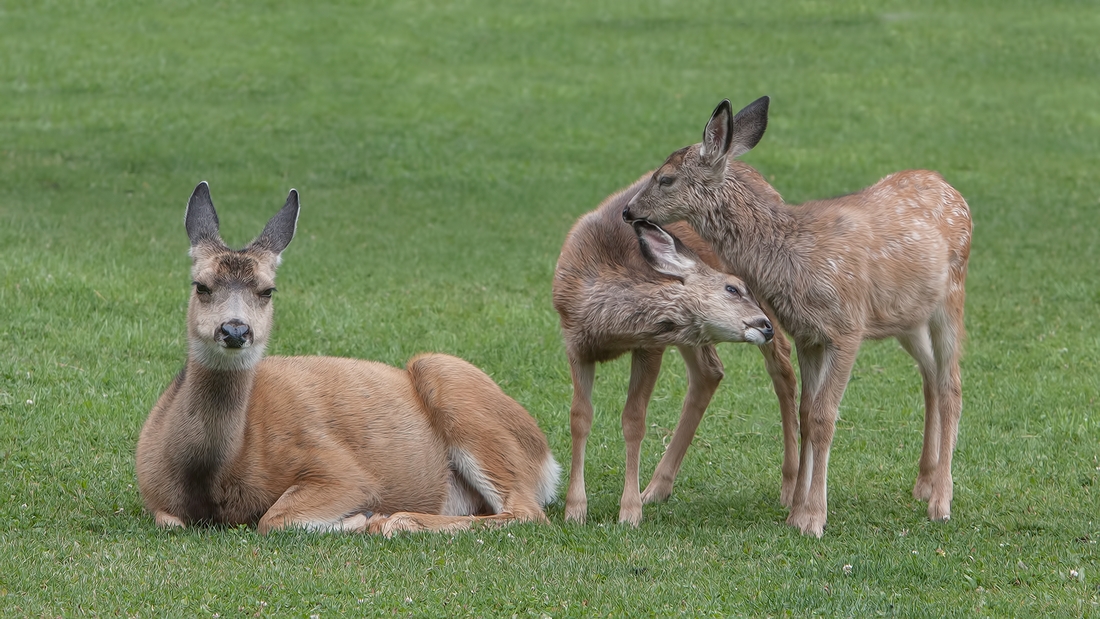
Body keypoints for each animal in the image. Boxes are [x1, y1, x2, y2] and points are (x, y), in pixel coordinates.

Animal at [135, 183, 558, 538]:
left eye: (268, 290)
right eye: (201, 286)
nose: (235, 331)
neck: (213, 475)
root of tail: (545, 457)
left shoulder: (339, 468)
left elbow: (274, 518)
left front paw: (360, 518)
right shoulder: (156, 498)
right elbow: (171, 520)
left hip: (453, 385)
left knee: (527, 511)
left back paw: (396, 521)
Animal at [554, 175, 796, 527]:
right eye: (732, 288)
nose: (764, 325)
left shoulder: (650, 345)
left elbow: (634, 420)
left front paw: (629, 512)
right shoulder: (575, 343)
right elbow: (579, 417)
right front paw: (575, 509)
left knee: (784, 367)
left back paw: (790, 488)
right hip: (693, 337)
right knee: (709, 371)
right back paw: (657, 488)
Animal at [624, 96, 976, 538]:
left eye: (666, 178)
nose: (628, 210)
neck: (794, 256)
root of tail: (954, 191)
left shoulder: (847, 325)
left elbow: (825, 416)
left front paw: (813, 518)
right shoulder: (808, 334)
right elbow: (807, 414)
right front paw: (796, 512)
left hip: (952, 295)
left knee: (952, 384)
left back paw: (941, 502)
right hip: (906, 316)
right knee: (930, 374)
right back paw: (924, 484)